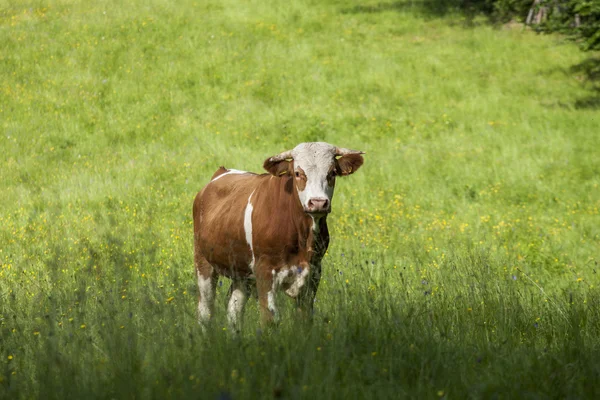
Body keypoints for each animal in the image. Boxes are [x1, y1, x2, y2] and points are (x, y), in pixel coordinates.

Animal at [192, 142, 364, 330]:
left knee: (234, 310)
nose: (318, 202)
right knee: (205, 310)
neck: (302, 237)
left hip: (241, 272)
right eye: (298, 173)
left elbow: (305, 319)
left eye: (332, 172)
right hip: (203, 262)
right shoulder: (265, 271)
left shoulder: (314, 272)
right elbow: (270, 319)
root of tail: (221, 173)